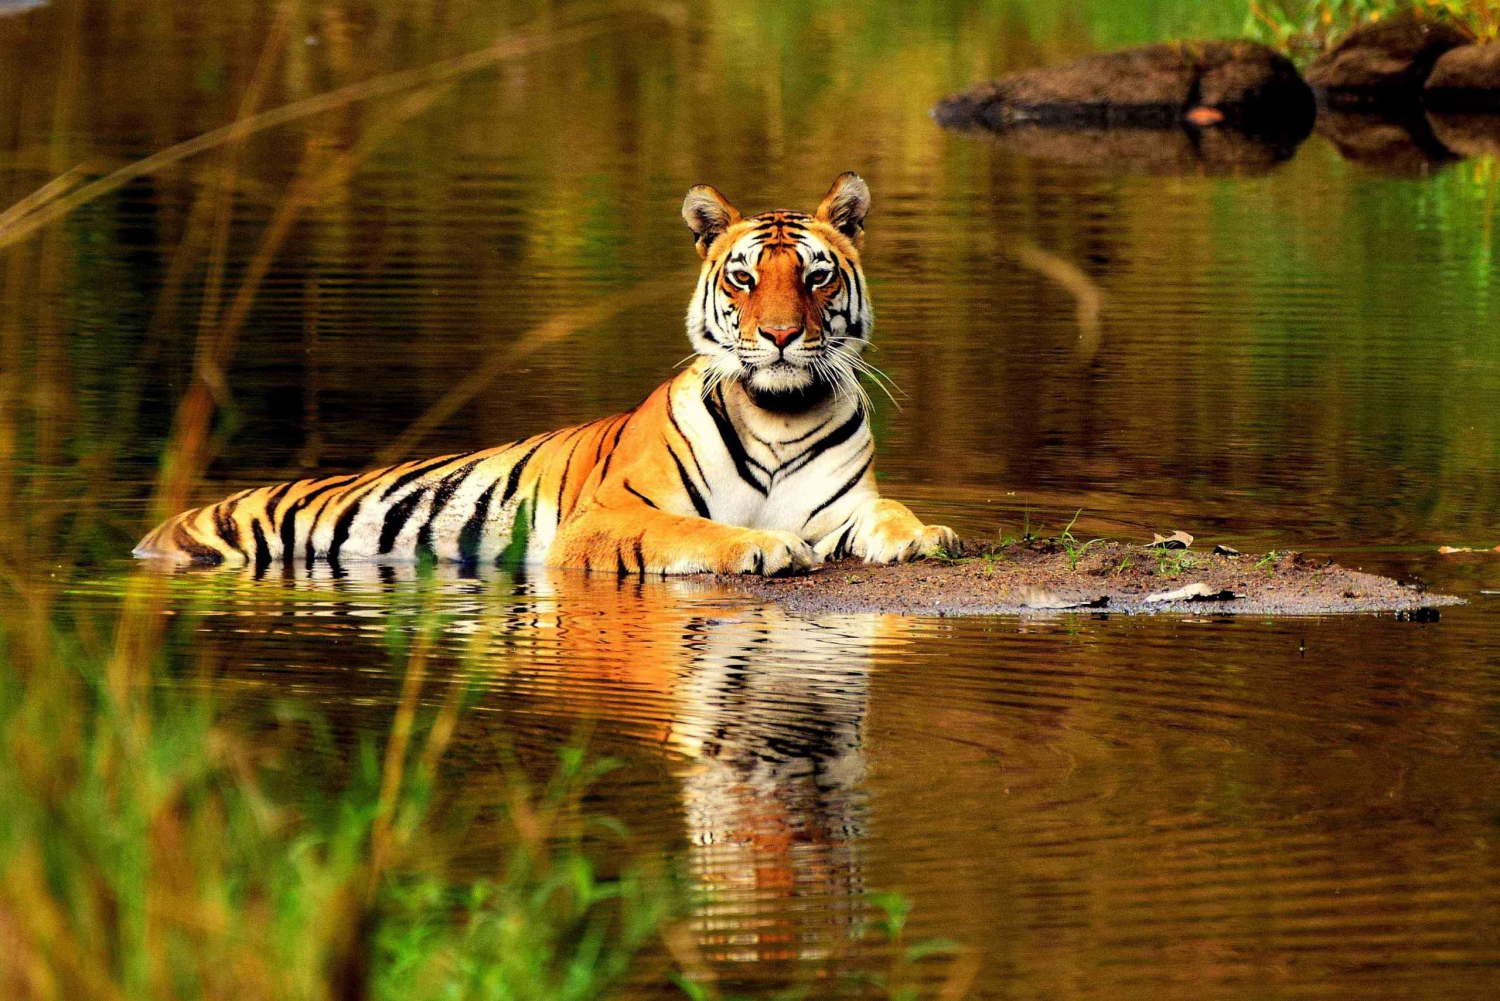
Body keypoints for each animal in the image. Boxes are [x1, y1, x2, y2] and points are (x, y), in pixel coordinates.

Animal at [143, 175, 960, 576]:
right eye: (743, 278)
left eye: (818, 277)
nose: (783, 335)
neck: (779, 413)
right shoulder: (607, 518)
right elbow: (692, 530)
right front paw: (764, 547)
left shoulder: (843, 505)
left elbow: (890, 513)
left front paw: (929, 534)